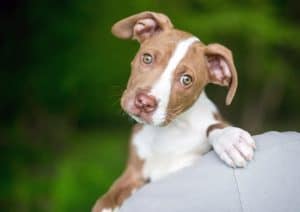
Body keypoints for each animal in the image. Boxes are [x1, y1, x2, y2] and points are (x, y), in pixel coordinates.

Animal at [92, 11, 255, 212]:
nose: (144, 102)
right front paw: (107, 204)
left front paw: (230, 139)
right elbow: (112, 194)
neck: (170, 130)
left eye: (186, 79)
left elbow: (213, 126)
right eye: (147, 58)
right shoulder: (133, 174)